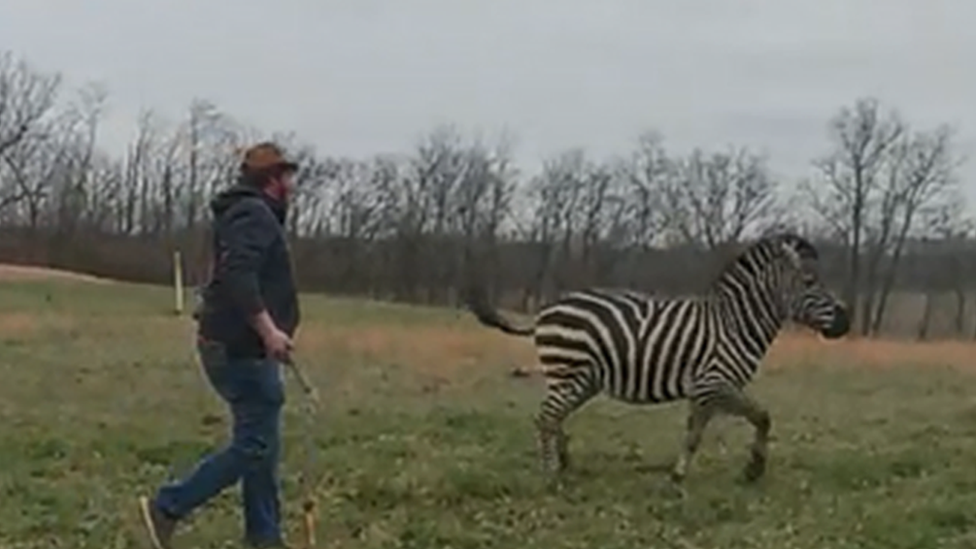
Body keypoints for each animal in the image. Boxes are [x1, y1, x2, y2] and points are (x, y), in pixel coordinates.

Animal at [466, 233, 848, 482]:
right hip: (569, 372)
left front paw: (678, 475)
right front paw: (754, 469)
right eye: (810, 281)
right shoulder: (715, 383)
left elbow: (694, 434)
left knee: (555, 416)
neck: (734, 323)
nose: (845, 322)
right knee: (545, 417)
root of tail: (545, 311)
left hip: (581, 380)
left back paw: (564, 462)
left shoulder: (705, 392)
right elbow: (762, 416)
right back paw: (550, 475)